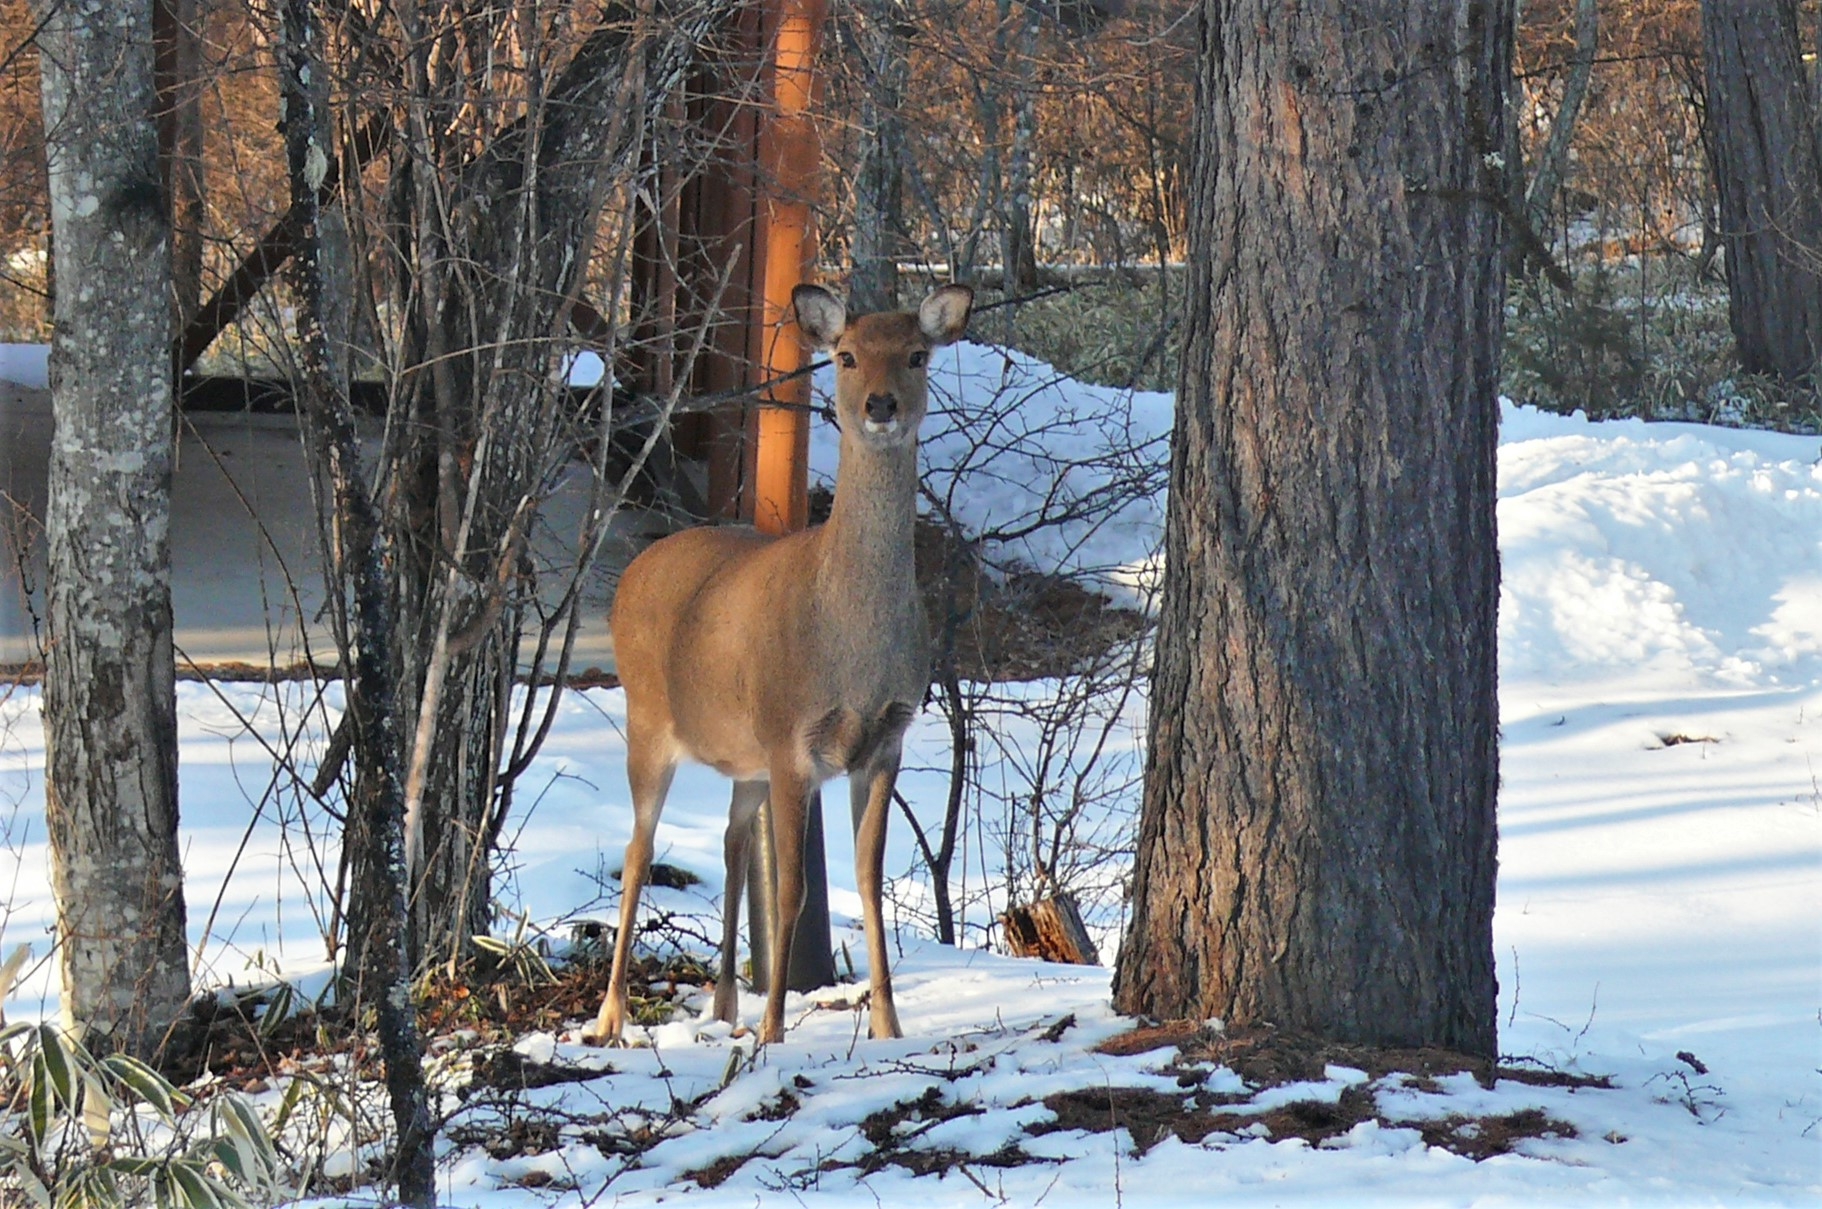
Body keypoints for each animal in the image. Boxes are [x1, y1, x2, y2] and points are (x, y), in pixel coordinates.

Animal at [593, 278, 969, 1041]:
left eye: (917, 354)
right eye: (846, 355)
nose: (880, 405)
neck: (850, 641)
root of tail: (635, 568)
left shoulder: (884, 741)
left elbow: (867, 880)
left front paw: (887, 1028)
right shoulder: (792, 737)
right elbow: (793, 887)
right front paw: (773, 1033)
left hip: (746, 756)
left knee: (733, 840)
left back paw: (723, 1003)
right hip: (649, 719)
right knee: (637, 852)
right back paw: (611, 1015)